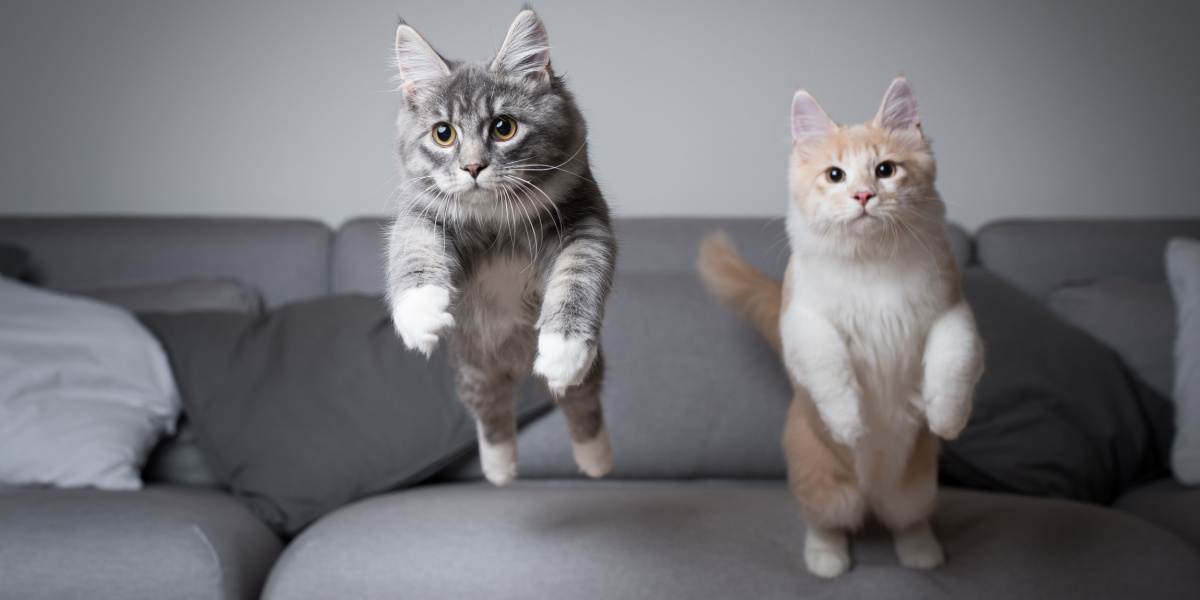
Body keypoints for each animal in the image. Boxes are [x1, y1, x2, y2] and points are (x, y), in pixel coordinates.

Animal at [386, 9, 619, 484]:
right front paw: (420, 314)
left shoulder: (584, 223)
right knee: (493, 416)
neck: (497, 223)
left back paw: (596, 460)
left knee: (581, 404)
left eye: (503, 127)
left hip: (587, 374)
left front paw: (563, 345)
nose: (473, 167)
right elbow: (413, 250)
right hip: (475, 371)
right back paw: (500, 471)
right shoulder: (422, 215)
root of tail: (518, 366)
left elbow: (578, 277)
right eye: (443, 134)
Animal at [700, 77, 979, 578]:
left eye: (885, 170)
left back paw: (922, 555)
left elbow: (954, 362)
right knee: (828, 523)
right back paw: (827, 560)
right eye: (835, 175)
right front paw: (851, 426)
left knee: (906, 521)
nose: (864, 196)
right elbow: (831, 371)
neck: (873, 263)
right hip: (822, 482)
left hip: (917, 487)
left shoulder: (952, 311)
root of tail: (870, 498)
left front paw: (947, 419)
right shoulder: (804, 320)